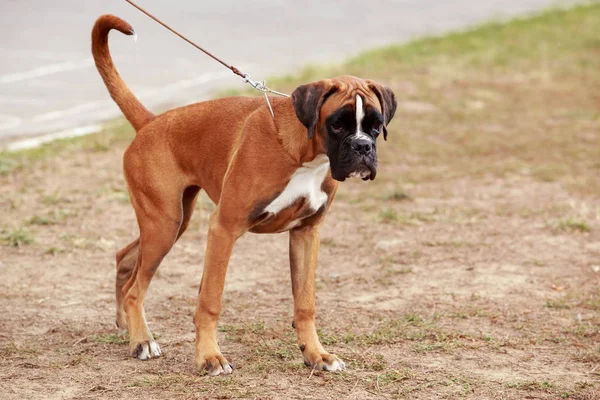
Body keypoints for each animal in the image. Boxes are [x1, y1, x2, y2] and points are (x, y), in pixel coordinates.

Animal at [92, 13, 394, 376]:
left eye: (376, 125)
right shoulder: (224, 228)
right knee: (136, 288)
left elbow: (305, 303)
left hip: (171, 221)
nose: (363, 147)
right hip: (164, 224)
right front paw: (209, 357)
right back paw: (142, 340)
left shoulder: (307, 234)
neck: (303, 154)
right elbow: (210, 300)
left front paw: (315, 353)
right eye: (337, 124)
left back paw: (128, 326)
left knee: (125, 260)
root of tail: (153, 121)